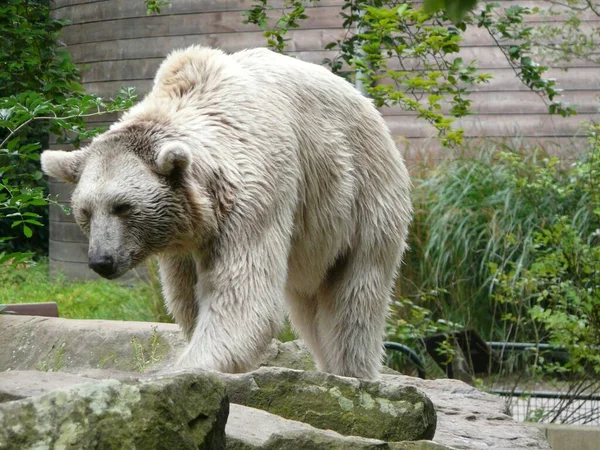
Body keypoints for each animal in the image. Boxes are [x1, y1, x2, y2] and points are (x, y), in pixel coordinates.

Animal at [39, 46, 410, 380]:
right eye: (85, 211)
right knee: (307, 304)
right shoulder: (183, 237)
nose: (101, 261)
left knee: (355, 295)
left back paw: (353, 371)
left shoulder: (254, 197)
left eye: (123, 206)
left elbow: (242, 294)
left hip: (362, 199)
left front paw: (184, 369)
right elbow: (187, 297)